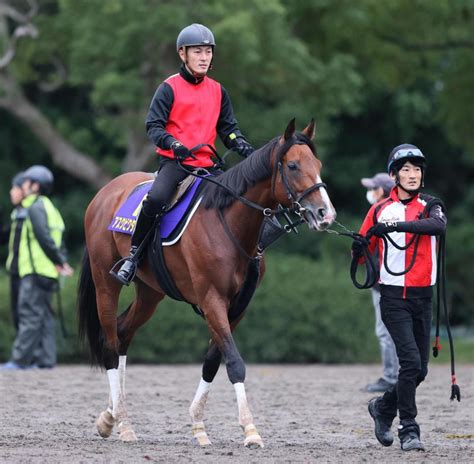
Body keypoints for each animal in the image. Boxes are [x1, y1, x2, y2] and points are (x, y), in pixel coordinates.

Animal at [78, 118, 336, 448]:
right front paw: (250, 429)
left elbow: (213, 361)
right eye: (292, 166)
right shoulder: (212, 300)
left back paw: (113, 418)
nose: (325, 214)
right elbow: (235, 363)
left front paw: (199, 425)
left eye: (318, 164)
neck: (228, 223)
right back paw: (120, 421)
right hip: (105, 285)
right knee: (110, 344)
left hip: (150, 293)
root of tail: (104, 194)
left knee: (123, 333)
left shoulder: (237, 307)